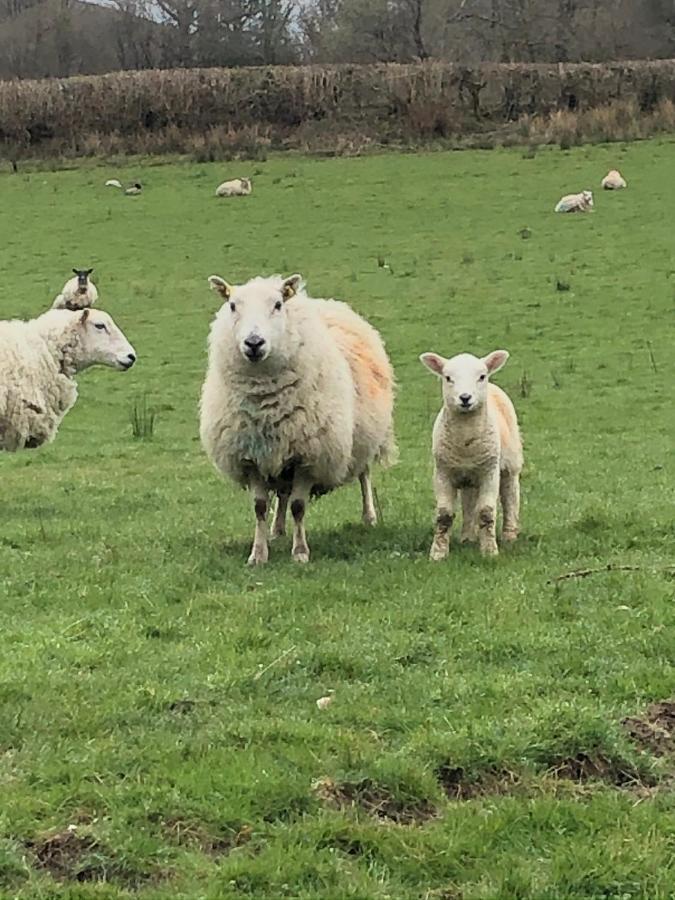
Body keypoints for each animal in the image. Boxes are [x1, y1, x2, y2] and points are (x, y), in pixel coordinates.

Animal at [201, 274, 396, 568]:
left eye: (278, 304)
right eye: (232, 305)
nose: (254, 343)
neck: (265, 403)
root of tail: (328, 304)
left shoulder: (309, 456)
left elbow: (298, 506)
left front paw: (301, 552)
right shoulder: (251, 456)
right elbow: (260, 507)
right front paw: (258, 554)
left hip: (364, 435)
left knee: (364, 475)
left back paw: (369, 517)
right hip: (282, 453)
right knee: (283, 492)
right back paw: (278, 529)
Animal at [422, 350, 524, 556]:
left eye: (481, 376)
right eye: (448, 378)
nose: (465, 398)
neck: (465, 445)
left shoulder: (489, 472)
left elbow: (486, 512)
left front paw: (489, 551)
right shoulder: (442, 472)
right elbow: (444, 515)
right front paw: (438, 552)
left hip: (510, 463)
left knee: (510, 495)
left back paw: (509, 535)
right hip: (468, 475)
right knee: (469, 502)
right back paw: (468, 538)